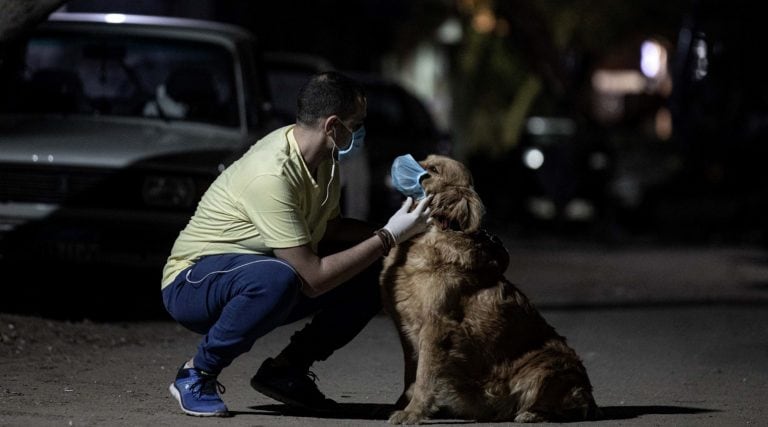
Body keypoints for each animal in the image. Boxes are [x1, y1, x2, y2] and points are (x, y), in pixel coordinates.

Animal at [380, 156, 596, 424]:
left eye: (433, 170)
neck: (426, 236)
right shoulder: (406, 331)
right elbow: (410, 375)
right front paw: (404, 404)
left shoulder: (435, 327)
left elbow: (423, 376)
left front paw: (413, 412)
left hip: (547, 365)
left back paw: (531, 413)